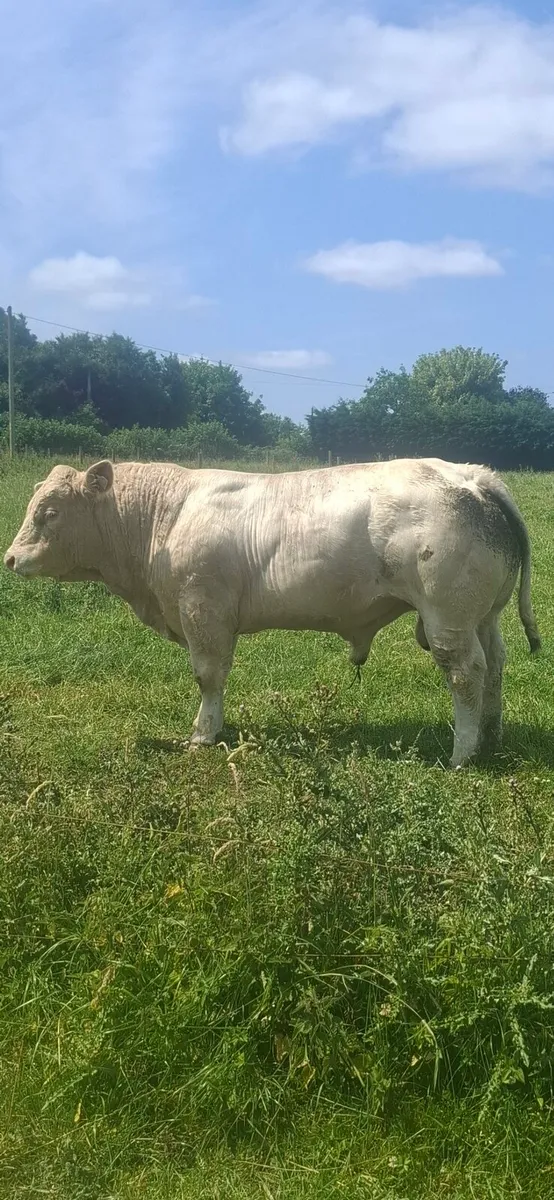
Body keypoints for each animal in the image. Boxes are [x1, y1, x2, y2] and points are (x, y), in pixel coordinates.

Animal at [4, 457, 540, 768]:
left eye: (49, 512)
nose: (10, 558)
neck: (163, 515)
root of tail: (471, 476)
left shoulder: (203, 609)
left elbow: (208, 676)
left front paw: (203, 734)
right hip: (483, 617)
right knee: (495, 664)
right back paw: (491, 735)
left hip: (448, 620)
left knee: (466, 673)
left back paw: (463, 754)